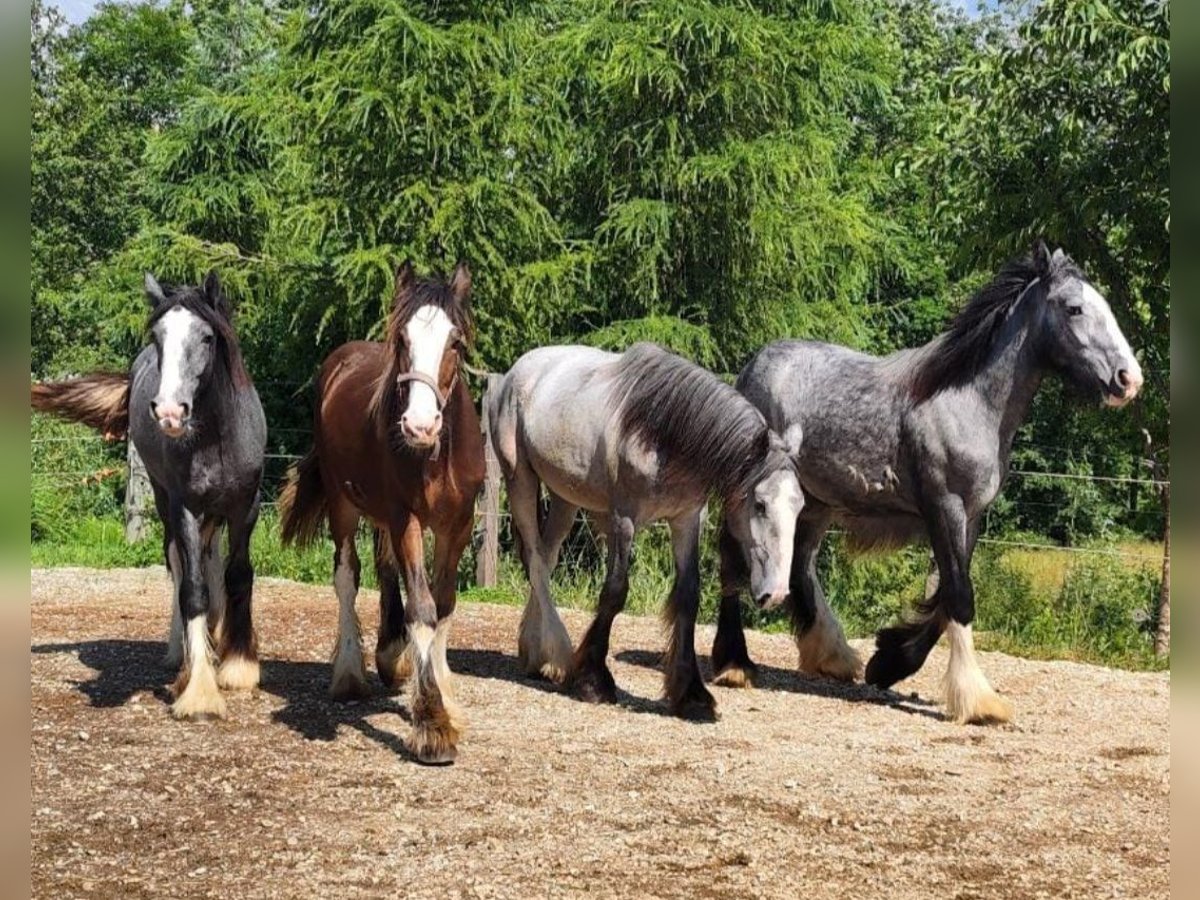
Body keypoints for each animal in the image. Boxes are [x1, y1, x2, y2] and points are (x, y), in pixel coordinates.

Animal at [33, 271, 267, 724]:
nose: (170, 411)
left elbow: (238, 575)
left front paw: (238, 667)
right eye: (158, 337)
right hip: (165, 503)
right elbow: (192, 588)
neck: (215, 440)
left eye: (207, 337)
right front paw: (198, 689)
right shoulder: (185, 507)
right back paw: (183, 651)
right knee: (179, 564)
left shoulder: (245, 508)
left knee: (211, 560)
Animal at [278, 264, 484, 763]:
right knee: (347, 576)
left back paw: (392, 657)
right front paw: (432, 725)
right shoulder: (405, 517)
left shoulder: (457, 526)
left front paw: (442, 696)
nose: (419, 426)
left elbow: (444, 605)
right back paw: (351, 674)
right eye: (402, 339)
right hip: (344, 505)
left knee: (385, 567)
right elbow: (422, 607)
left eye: (455, 342)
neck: (436, 455)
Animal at [482, 340, 801, 724]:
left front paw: (691, 694)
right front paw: (594, 681)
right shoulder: (624, 519)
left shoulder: (686, 520)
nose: (777, 594)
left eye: (799, 507)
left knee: (545, 556)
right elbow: (615, 591)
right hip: (520, 480)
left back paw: (538, 655)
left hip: (564, 497)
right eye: (760, 505)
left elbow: (688, 596)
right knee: (535, 559)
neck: (663, 432)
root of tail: (516, 372)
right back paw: (556, 656)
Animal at [710, 241, 1142, 724]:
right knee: (732, 559)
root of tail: (752, 367)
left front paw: (889, 663)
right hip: (754, 494)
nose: (1128, 379)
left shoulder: (970, 516)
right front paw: (978, 701)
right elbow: (958, 596)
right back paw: (734, 665)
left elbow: (946, 597)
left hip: (816, 501)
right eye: (1074, 308)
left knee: (801, 564)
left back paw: (834, 657)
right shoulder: (944, 506)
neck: (966, 400)